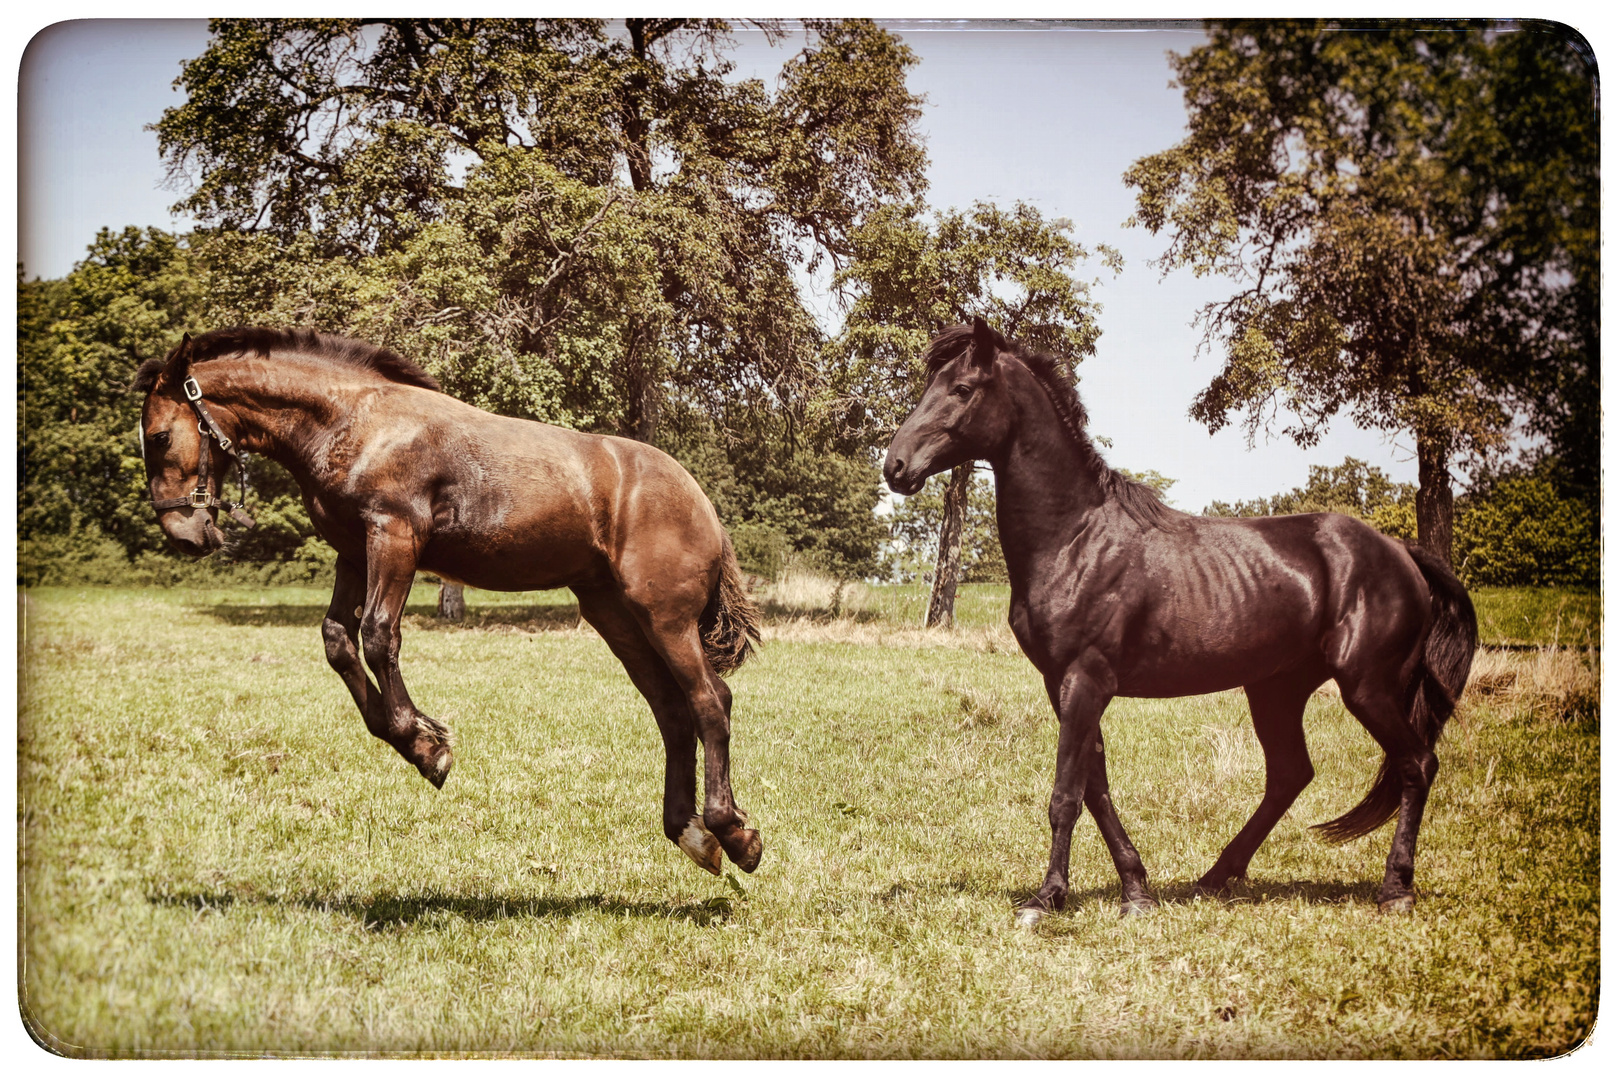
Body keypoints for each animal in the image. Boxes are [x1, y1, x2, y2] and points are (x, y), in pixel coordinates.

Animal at [137, 330, 764, 880]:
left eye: (161, 436)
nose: (182, 533)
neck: (356, 421)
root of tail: (700, 501)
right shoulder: (353, 553)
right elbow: (338, 640)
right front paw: (417, 740)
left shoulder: (394, 537)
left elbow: (378, 635)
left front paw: (424, 746)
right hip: (616, 618)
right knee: (672, 710)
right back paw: (693, 834)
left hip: (665, 618)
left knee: (710, 701)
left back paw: (732, 831)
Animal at [881, 314, 1477, 932]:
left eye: (962, 389)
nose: (895, 467)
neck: (1075, 537)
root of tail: (1400, 552)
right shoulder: (1063, 684)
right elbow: (1096, 789)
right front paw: (1136, 891)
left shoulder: (1084, 681)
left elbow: (1066, 794)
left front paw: (1045, 899)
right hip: (1277, 691)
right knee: (1291, 774)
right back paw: (1216, 876)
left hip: (1366, 687)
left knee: (1416, 764)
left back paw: (1395, 889)